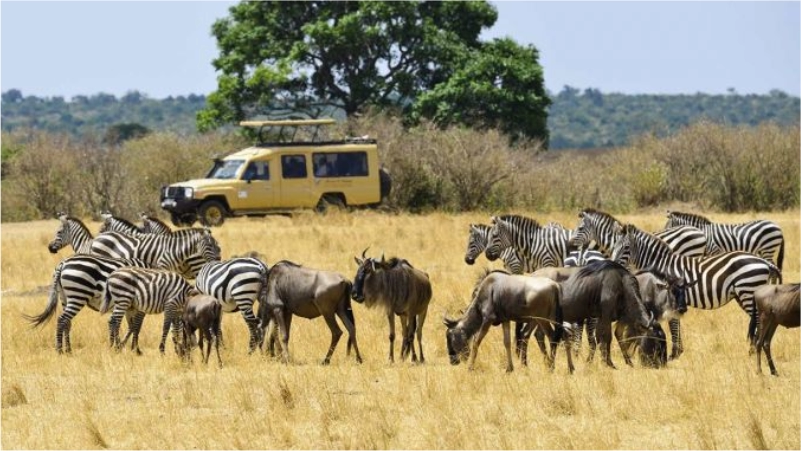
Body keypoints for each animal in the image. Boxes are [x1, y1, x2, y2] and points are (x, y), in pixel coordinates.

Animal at [89, 229, 221, 279]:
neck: (175, 250)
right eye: (209, 246)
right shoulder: (162, 266)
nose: (218, 259)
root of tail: (97, 238)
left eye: (217, 245)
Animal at [612, 223, 782, 357]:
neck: (661, 266)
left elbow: (673, 325)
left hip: (748, 291)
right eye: (613, 246)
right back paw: (754, 350)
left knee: (759, 321)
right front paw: (678, 352)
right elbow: (675, 323)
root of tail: (764, 262)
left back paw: (755, 352)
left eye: (626, 248)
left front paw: (674, 353)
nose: (613, 265)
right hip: (743, 295)